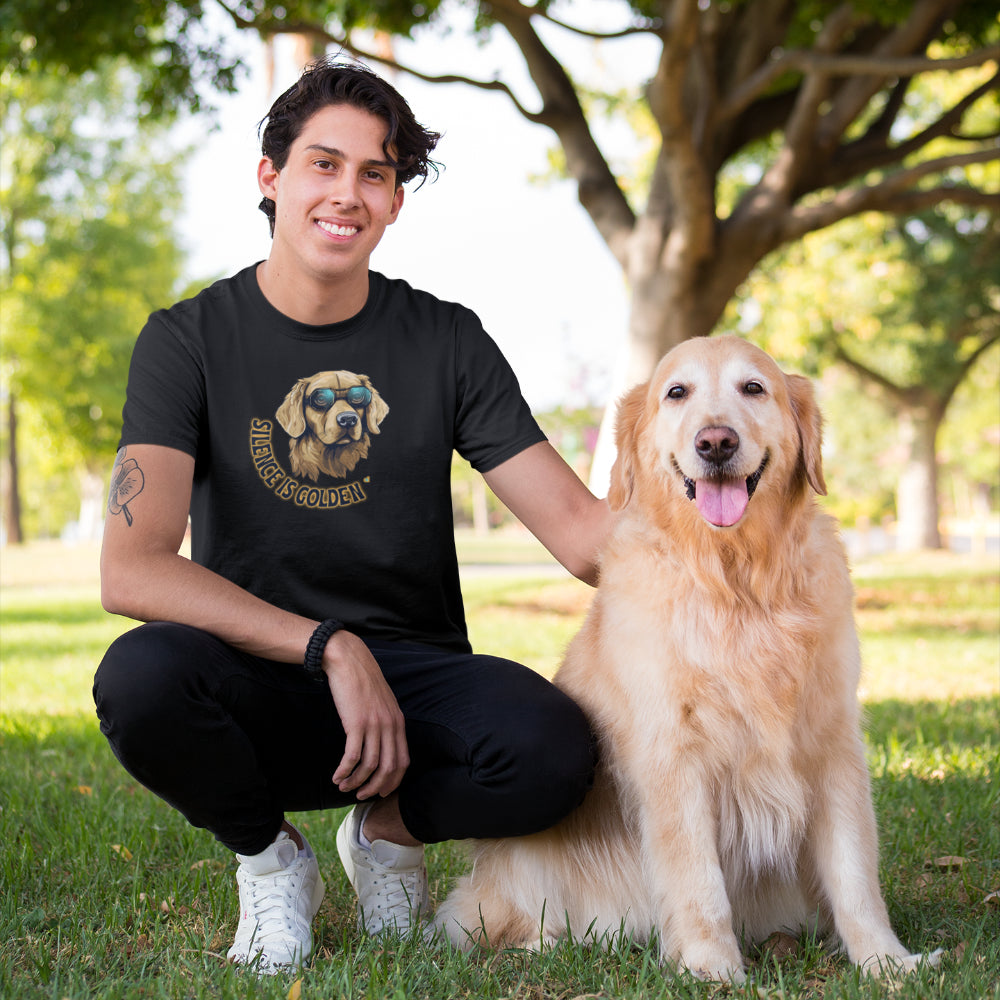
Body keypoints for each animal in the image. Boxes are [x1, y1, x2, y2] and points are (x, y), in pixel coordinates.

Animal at [434, 340, 940, 980]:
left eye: (754, 388)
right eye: (677, 393)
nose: (715, 442)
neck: (735, 580)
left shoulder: (833, 745)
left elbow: (853, 873)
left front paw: (885, 961)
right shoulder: (674, 755)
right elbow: (698, 881)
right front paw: (710, 968)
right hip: (522, 866)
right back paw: (551, 943)